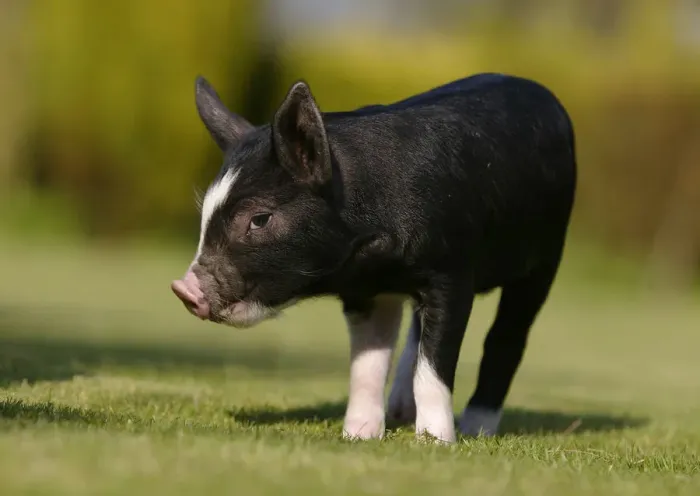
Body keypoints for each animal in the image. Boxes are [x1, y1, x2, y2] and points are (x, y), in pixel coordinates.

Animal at [171, 72, 577, 443]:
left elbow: (434, 365)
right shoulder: (364, 293)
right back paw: (400, 412)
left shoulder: (452, 274)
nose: (183, 289)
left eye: (259, 219)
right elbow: (367, 364)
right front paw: (359, 437)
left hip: (547, 258)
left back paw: (477, 428)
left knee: (506, 336)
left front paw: (435, 442)